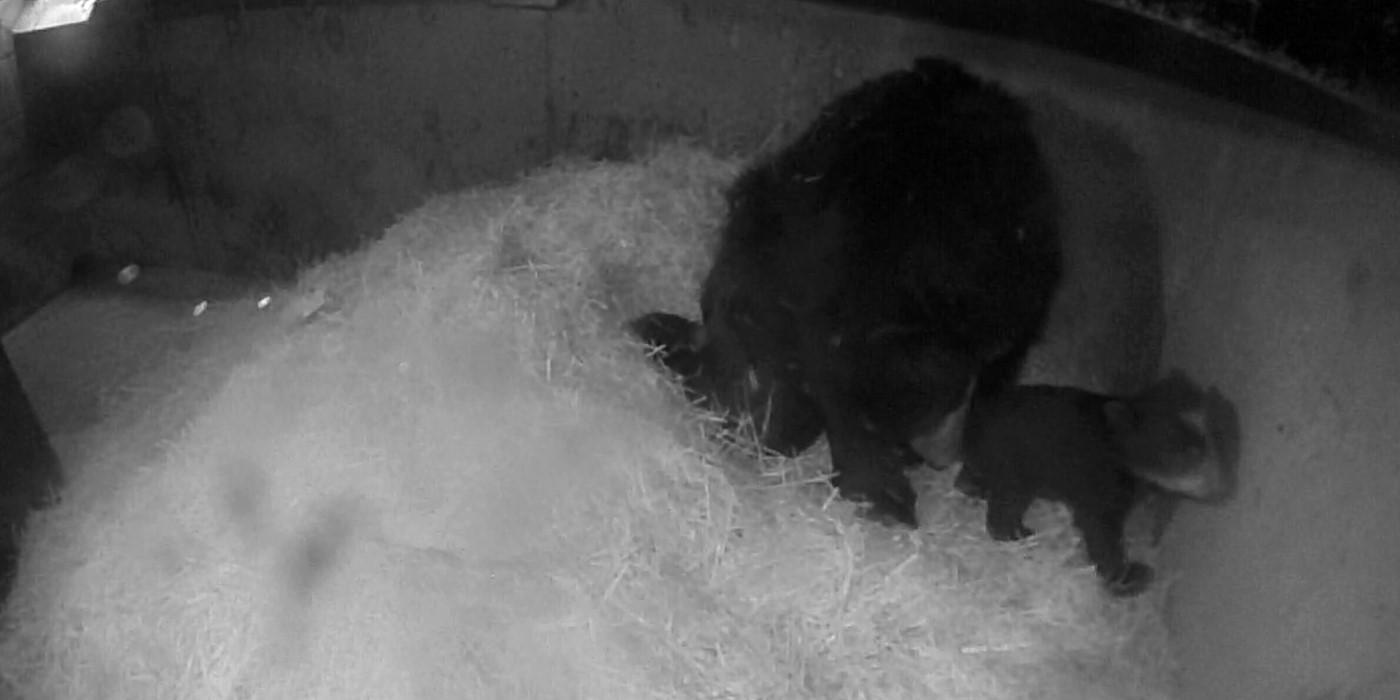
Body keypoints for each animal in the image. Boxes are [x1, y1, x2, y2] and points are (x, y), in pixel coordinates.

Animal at [957, 372, 1232, 596]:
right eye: (1184, 452)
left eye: (1217, 439)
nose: (1221, 490)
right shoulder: (1099, 480)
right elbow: (1099, 527)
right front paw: (1129, 577)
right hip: (1017, 462)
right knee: (1008, 500)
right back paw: (1016, 531)